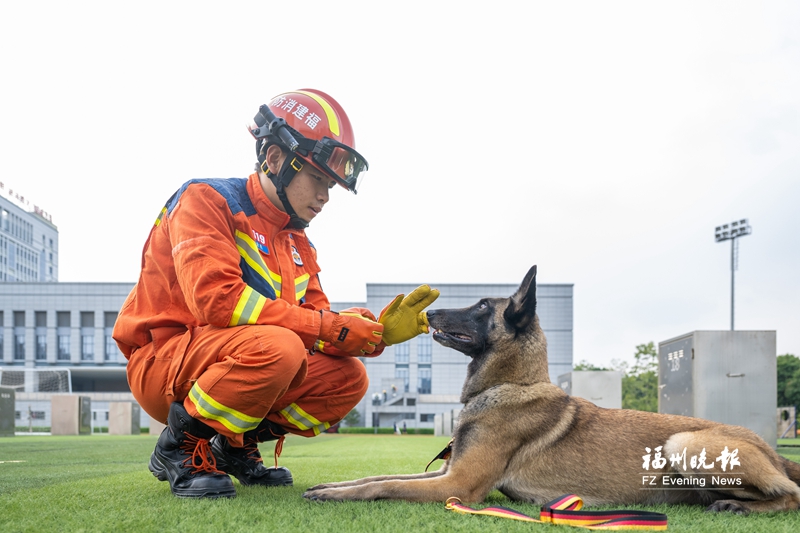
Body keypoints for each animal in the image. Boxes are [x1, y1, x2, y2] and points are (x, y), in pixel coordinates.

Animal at [304, 264, 800, 512]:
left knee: (790, 495)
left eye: (481, 306)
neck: (510, 384)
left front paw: (335, 496)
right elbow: (375, 477)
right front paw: (331, 485)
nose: (428, 313)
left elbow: (383, 486)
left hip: (682, 443)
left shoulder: (458, 485)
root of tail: (772, 450)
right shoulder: (447, 473)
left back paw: (742, 507)